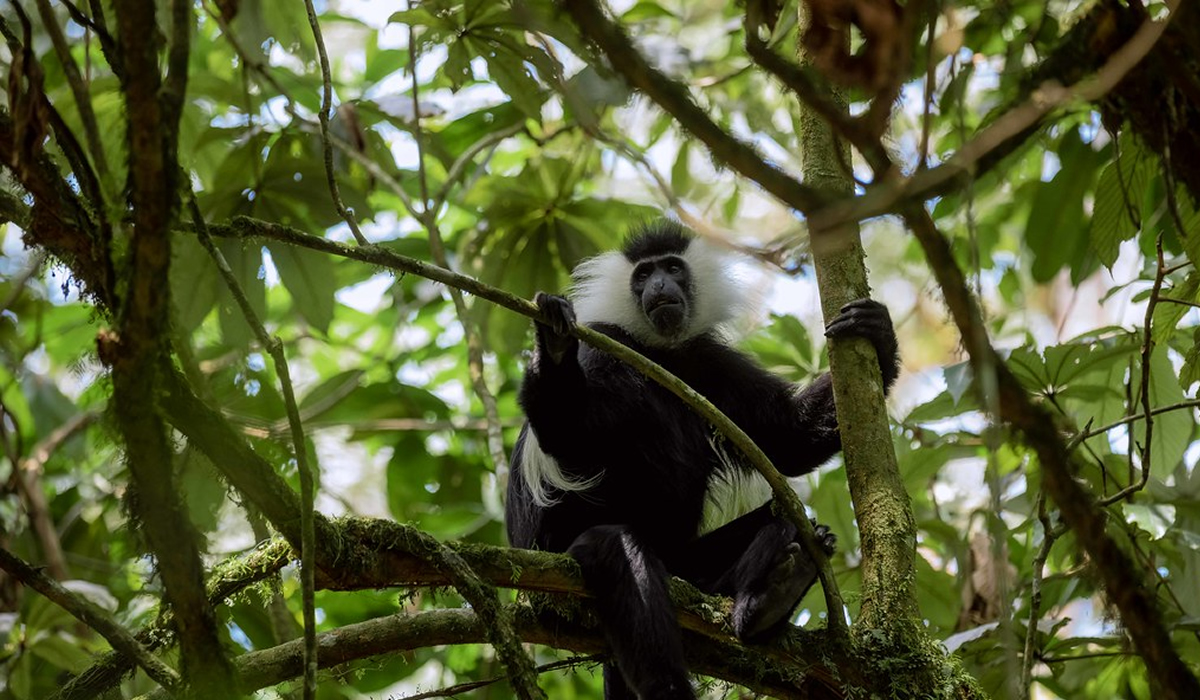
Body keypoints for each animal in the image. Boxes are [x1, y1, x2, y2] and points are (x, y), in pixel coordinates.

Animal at [505, 221, 899, 699]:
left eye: (673, 268)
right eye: (643, 275)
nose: (659, 285)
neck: (659, 352)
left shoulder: (709, 361)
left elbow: (787, 438)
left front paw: (878, 333)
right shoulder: (603, 345)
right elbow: (570, 441)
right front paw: (555, 341)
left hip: (692, 567)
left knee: (782, 518)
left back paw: (767, 598)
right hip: (558, 574)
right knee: (616, 548)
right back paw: (670, 684)